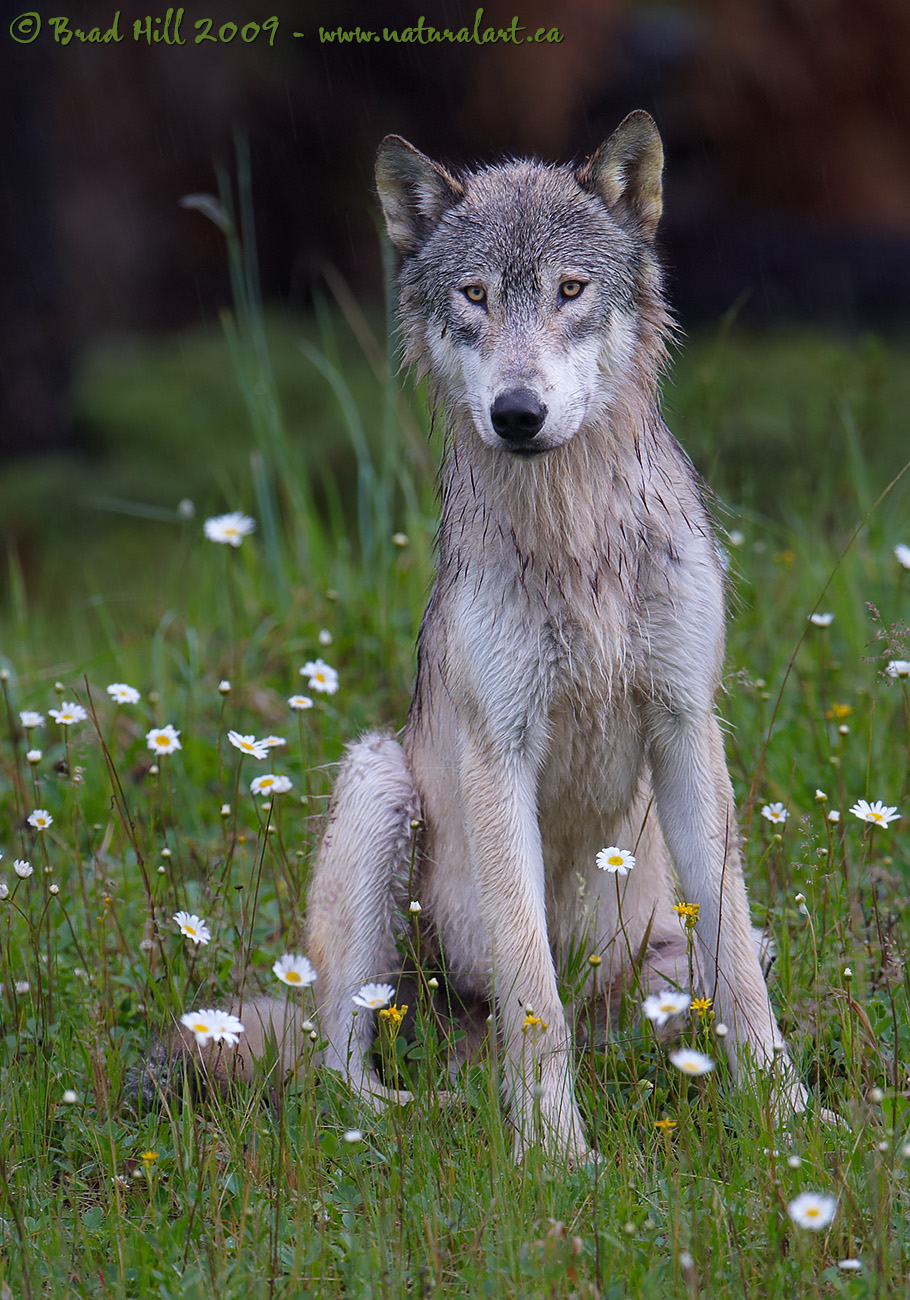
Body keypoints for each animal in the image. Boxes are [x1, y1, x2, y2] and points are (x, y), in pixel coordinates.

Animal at [301, 114, 806, 1170]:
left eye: (570, 290)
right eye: (475, 297)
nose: (517, 414)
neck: (579, 545)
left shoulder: (686, 726)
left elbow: (741, 967)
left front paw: (788, 1122)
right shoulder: (502, 751)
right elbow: (533, 995)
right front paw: (555, 1159)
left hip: (655, 961)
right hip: (376, 784)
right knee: (345, 1067)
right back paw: (440, 1117)